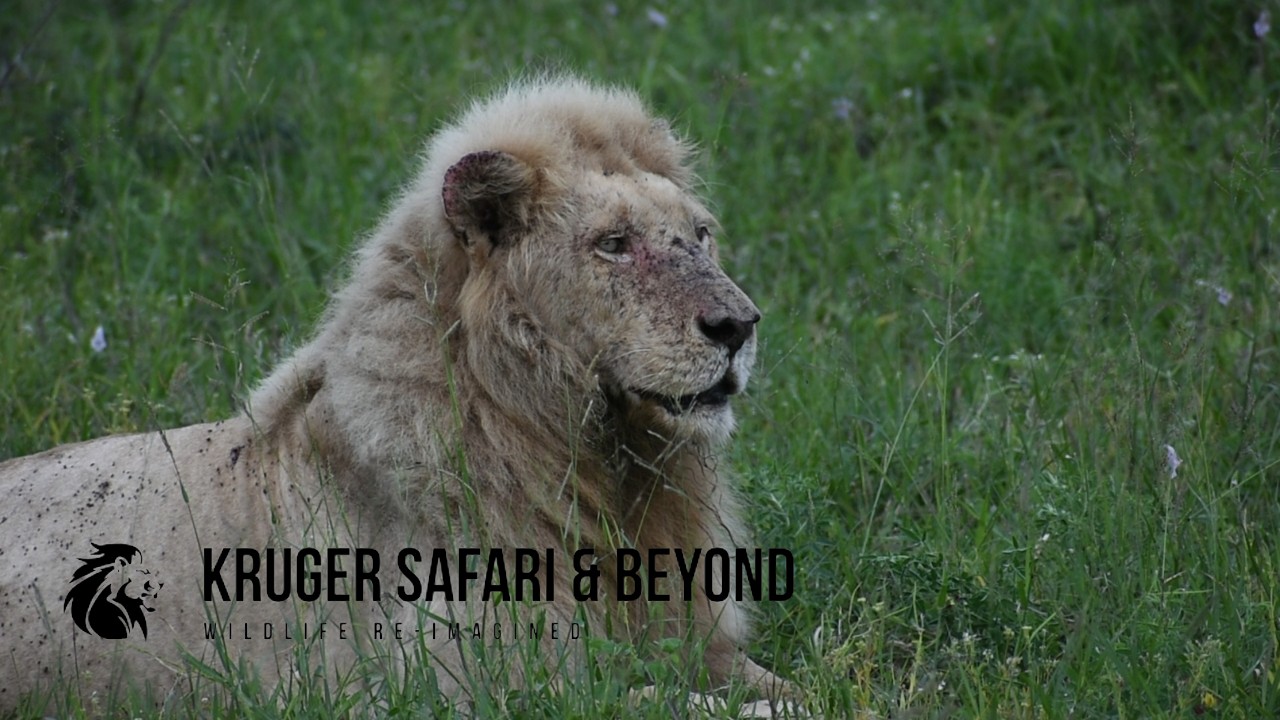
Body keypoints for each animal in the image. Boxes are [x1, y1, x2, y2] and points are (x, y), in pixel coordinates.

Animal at [0, 76, 795, 714]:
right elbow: (681, 704)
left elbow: (779, 680)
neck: (606, 466)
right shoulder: (473, 684)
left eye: (701, 234)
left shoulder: (688, 634)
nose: (740, 325)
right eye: (614, 243)